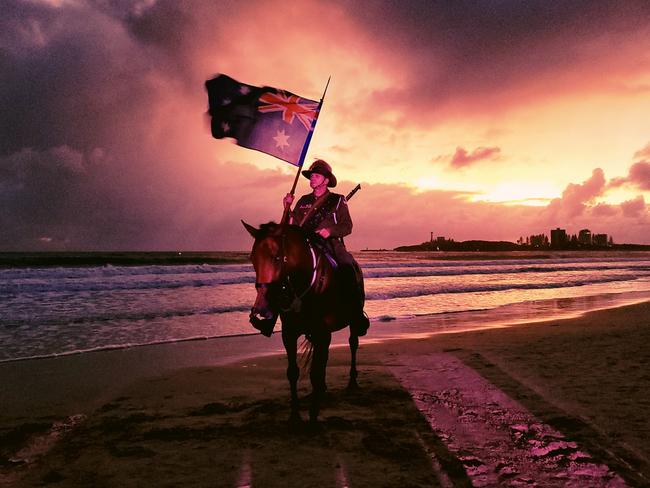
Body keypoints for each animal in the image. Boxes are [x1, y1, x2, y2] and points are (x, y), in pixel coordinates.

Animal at [242, 221, 362, 424]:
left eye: (276, 257)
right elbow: (293, 372)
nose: (261, 310)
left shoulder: (322, 332)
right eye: (252, 258)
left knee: (353, 344)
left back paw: (352, 381)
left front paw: (313, 415)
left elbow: (314, 373)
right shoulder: (289, 333)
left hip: (352, 321)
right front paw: (295, 415)